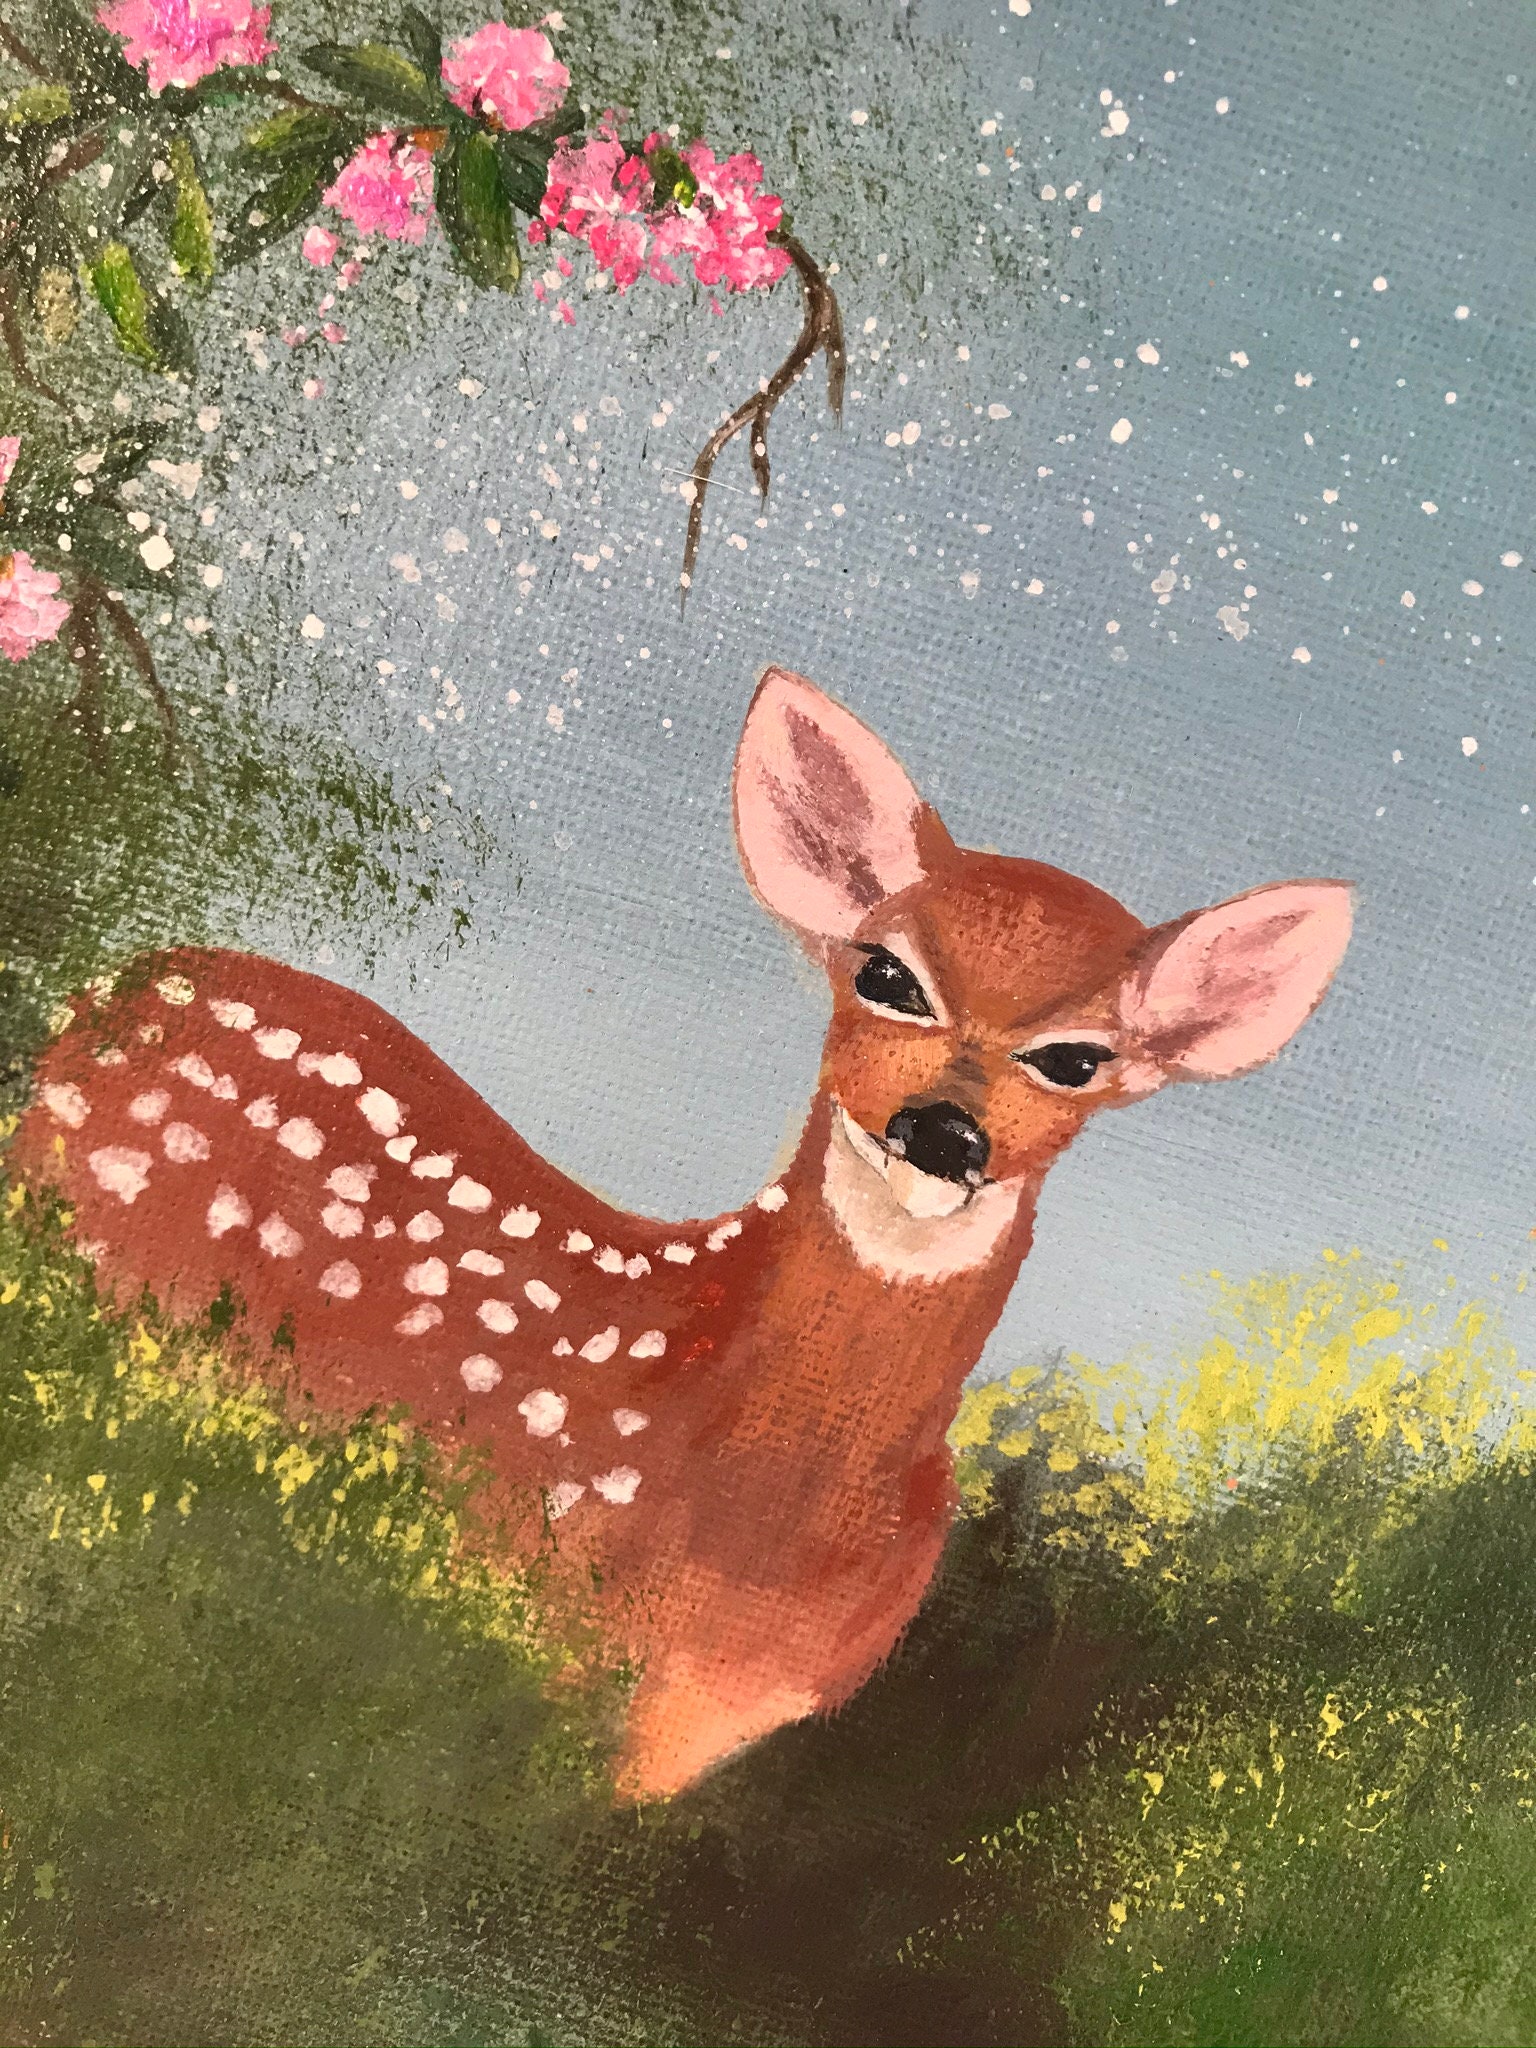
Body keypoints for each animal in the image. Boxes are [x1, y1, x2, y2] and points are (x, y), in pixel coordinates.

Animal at [12, 667, 1353, 1798]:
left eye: (1078, 1058)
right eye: (885, 973)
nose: (942, 1130)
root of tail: (111, 991)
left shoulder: (701, 1722)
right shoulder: (548, 1621)